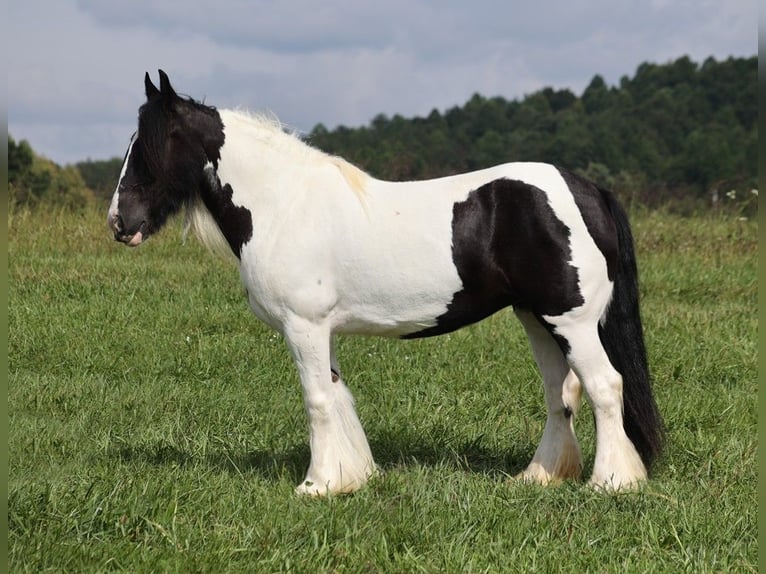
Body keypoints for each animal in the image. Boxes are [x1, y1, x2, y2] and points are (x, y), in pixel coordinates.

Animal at [108, 71, 664, 496]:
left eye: (152, 146)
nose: (119, 222)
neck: (284, 205)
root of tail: (588, 189)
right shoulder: (321, 330)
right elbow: (338, 397)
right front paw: (349, 477)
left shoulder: (304, 327)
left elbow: (317, 402)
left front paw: (315, 486)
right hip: (536, 318)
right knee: (560, 392)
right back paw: (538, 477)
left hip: (571, 321)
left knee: (604, 386)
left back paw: (610, 483)